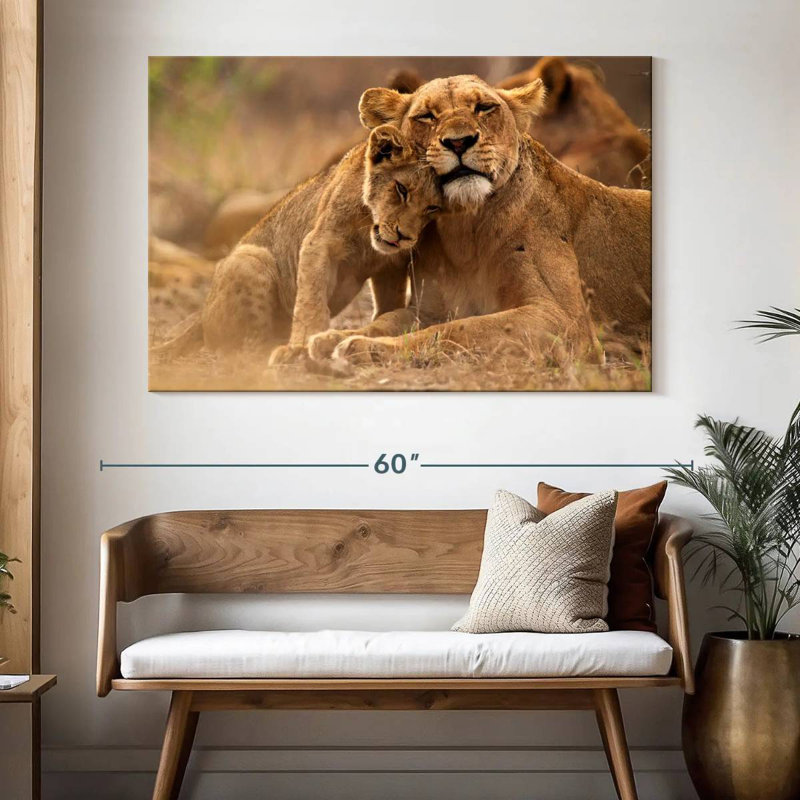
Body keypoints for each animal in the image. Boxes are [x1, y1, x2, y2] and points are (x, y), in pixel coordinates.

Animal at [152, 126, 440, 361]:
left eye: (432, 208)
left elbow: (388, 304)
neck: (368, 231)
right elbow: (311, 301)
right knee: (243, 348)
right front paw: (301, 345)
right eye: (401, 189)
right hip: (250, 259)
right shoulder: (319, 243)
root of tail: (200, 317)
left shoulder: (391, 264)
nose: (405, 237)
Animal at [320, 74, 650, 367]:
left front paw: (364, 347)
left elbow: (461, 329)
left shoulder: (566, 321)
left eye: (484, 108)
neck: (465, 230)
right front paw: (333, 337)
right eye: (426, 116)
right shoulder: (429, 308)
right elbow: (389, 319)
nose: (458, 142)